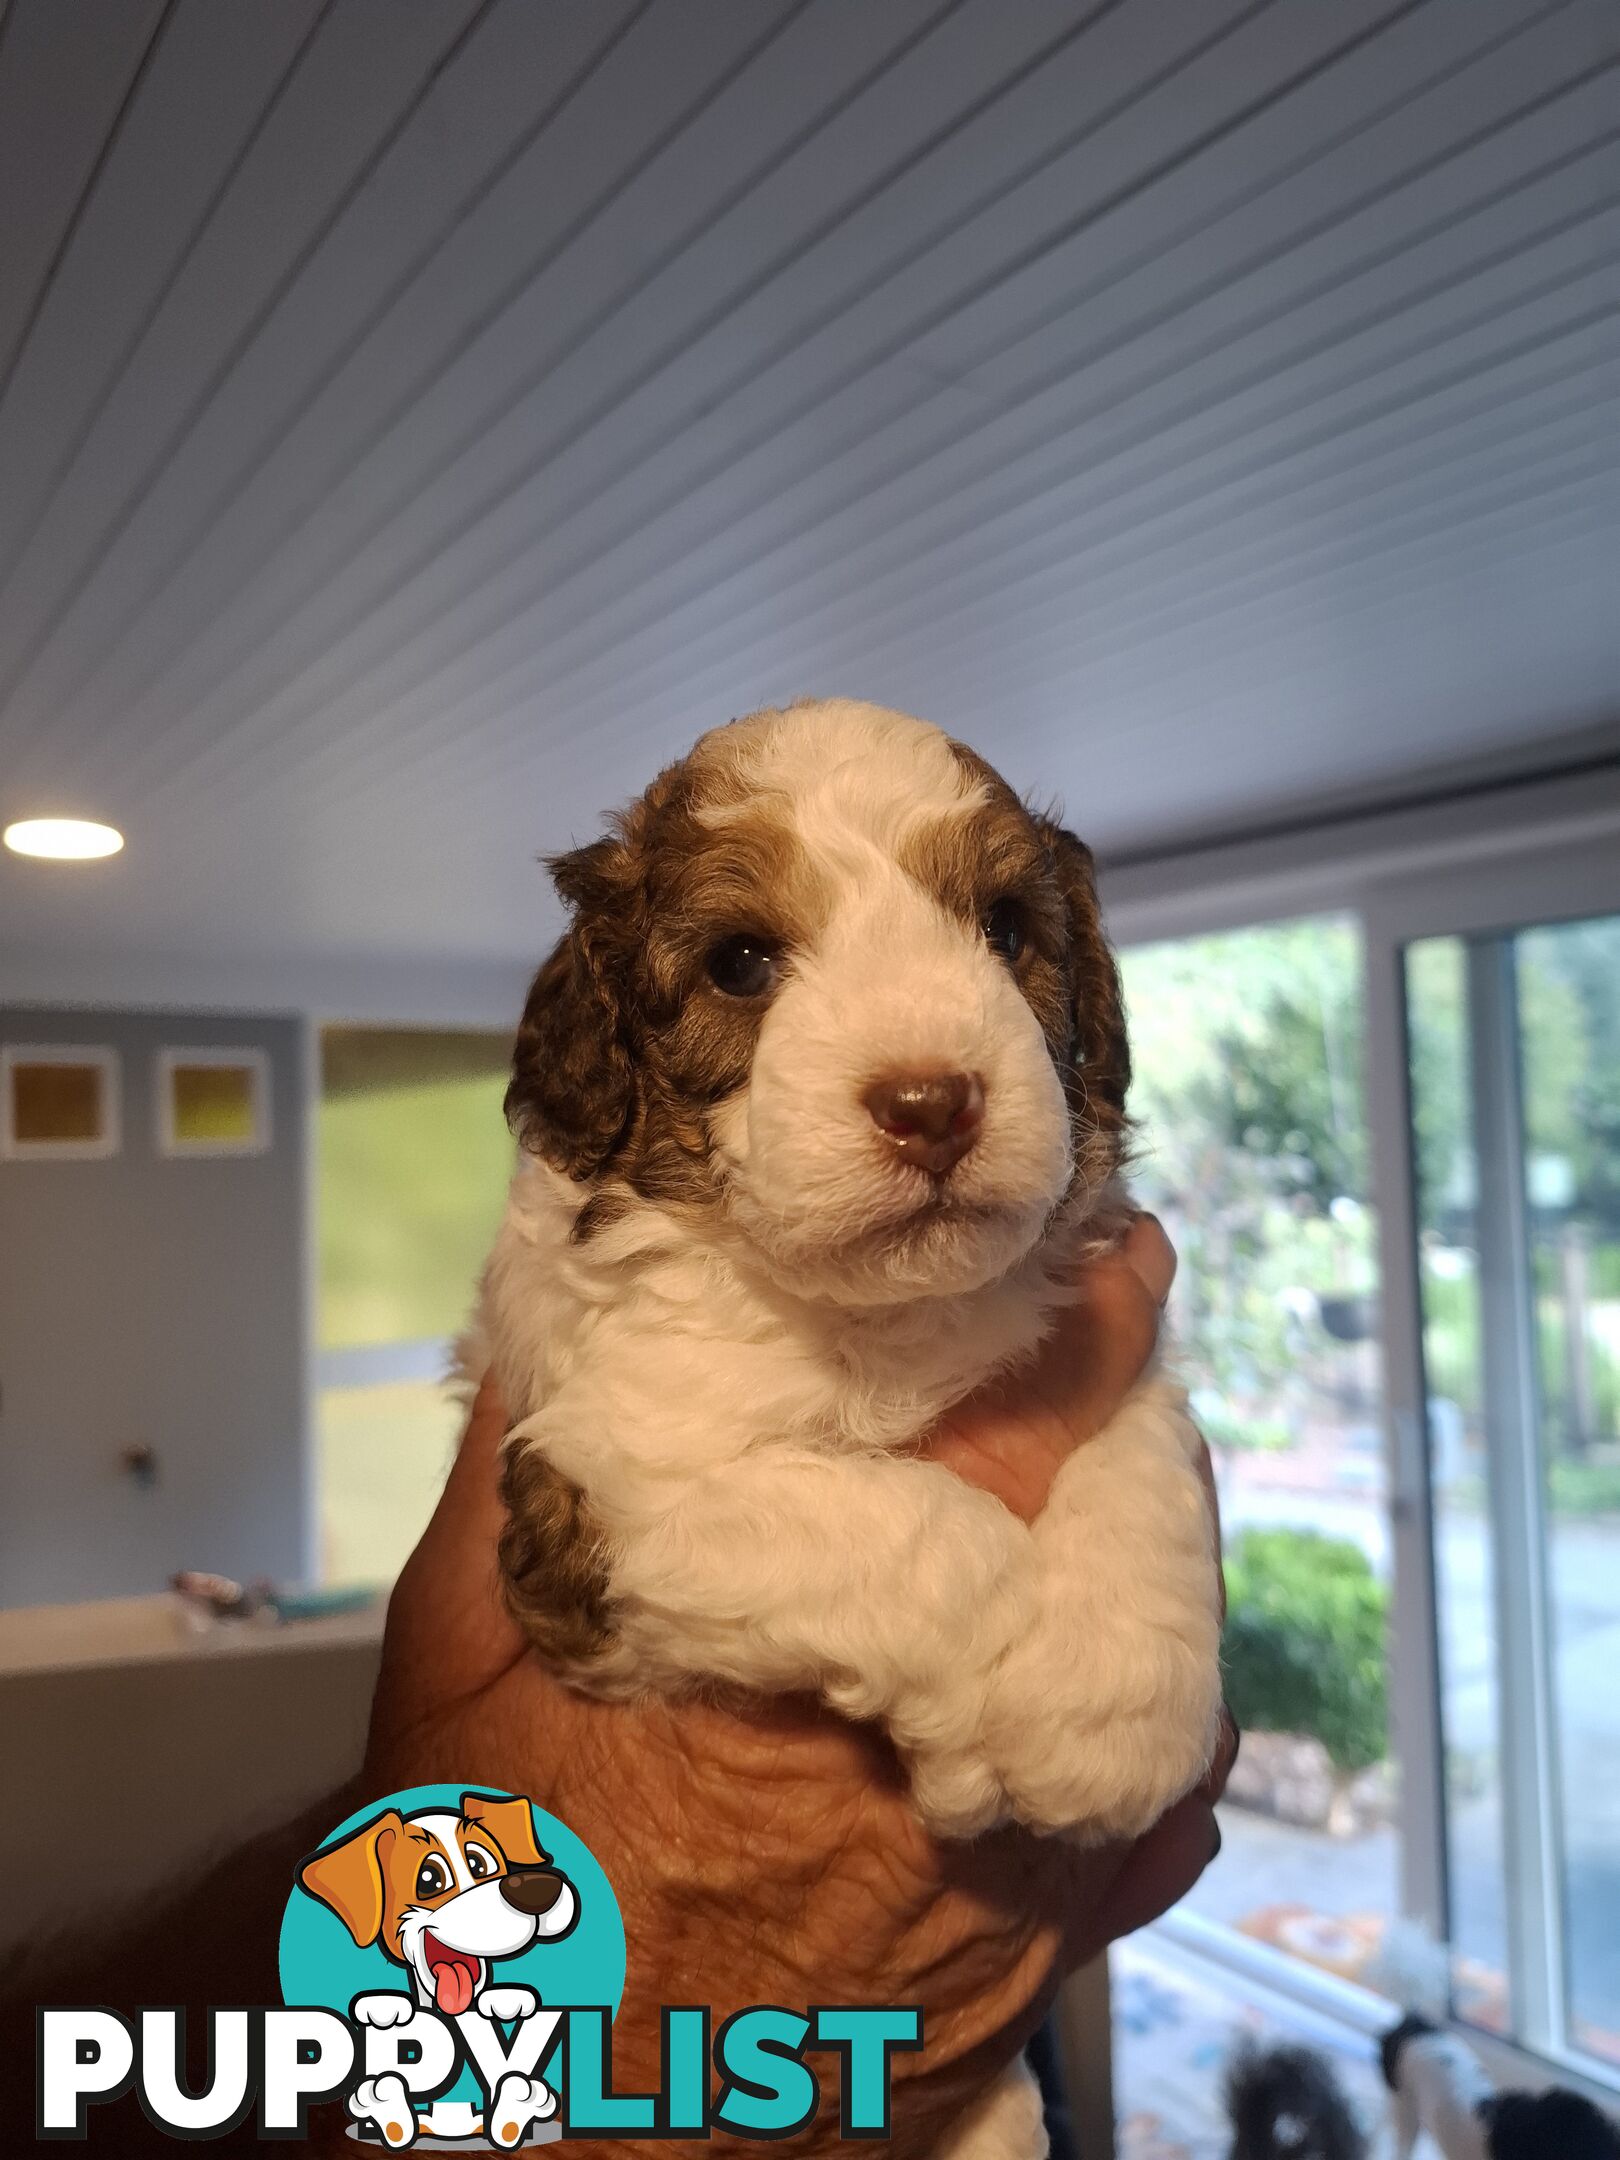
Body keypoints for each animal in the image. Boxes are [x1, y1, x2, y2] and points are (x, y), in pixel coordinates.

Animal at [475, 699, 1226, 2151]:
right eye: (741, 962)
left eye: (1007, 928)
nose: (932, 1100)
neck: (879, 1320)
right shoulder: (599, 1488)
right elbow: (904, 1529)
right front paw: (999, 1673)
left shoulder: (1103, 1328)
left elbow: (1136, 1460)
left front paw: (1109, 1710)